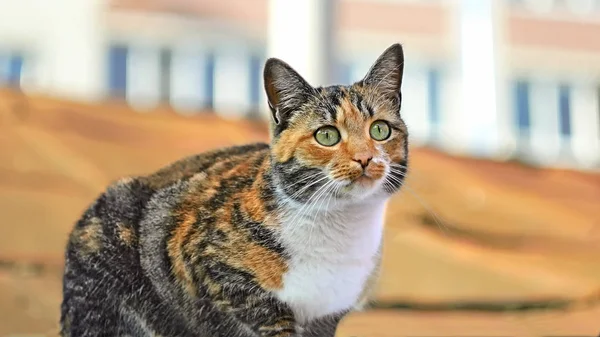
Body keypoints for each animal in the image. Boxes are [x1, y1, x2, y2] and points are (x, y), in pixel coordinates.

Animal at [61, 42, 408, 336]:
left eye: (380, 130)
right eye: (327, 135)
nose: (365, 158)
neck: (341, 229)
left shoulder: (328, 317)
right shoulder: (214, 272)